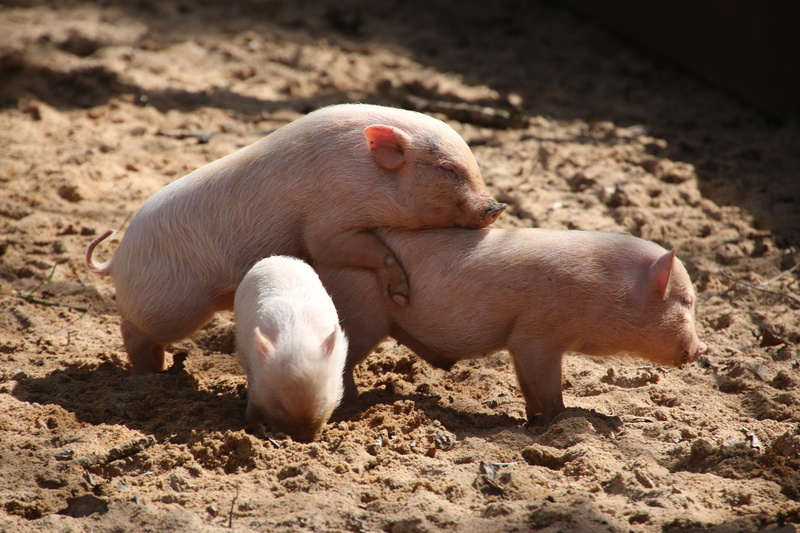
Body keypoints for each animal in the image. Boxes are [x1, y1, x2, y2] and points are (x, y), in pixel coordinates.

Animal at [85, 103, 506, 374]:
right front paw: (402, 293)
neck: (366, 173)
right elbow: (346, 246)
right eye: (447, 169)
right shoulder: (327, 222)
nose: (496, 206)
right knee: (132, 329)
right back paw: (149, 375)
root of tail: (116, 260)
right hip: (174, 304)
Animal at [234, 256, 347, 442]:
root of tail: (277, 258)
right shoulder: (253, 367)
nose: (303, 438)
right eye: (278, 404)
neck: (297, 337)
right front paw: (249, 421)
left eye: (323, 401)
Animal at [316, 228, 707, 424]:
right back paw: (352, 404)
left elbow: (527, 384)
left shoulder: (519, 341)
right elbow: (547, 385)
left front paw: (532, 419)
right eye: (686, 302)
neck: (605, 290)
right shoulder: (539, 336)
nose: (703, 349)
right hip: (363, 314)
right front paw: (562, 419)